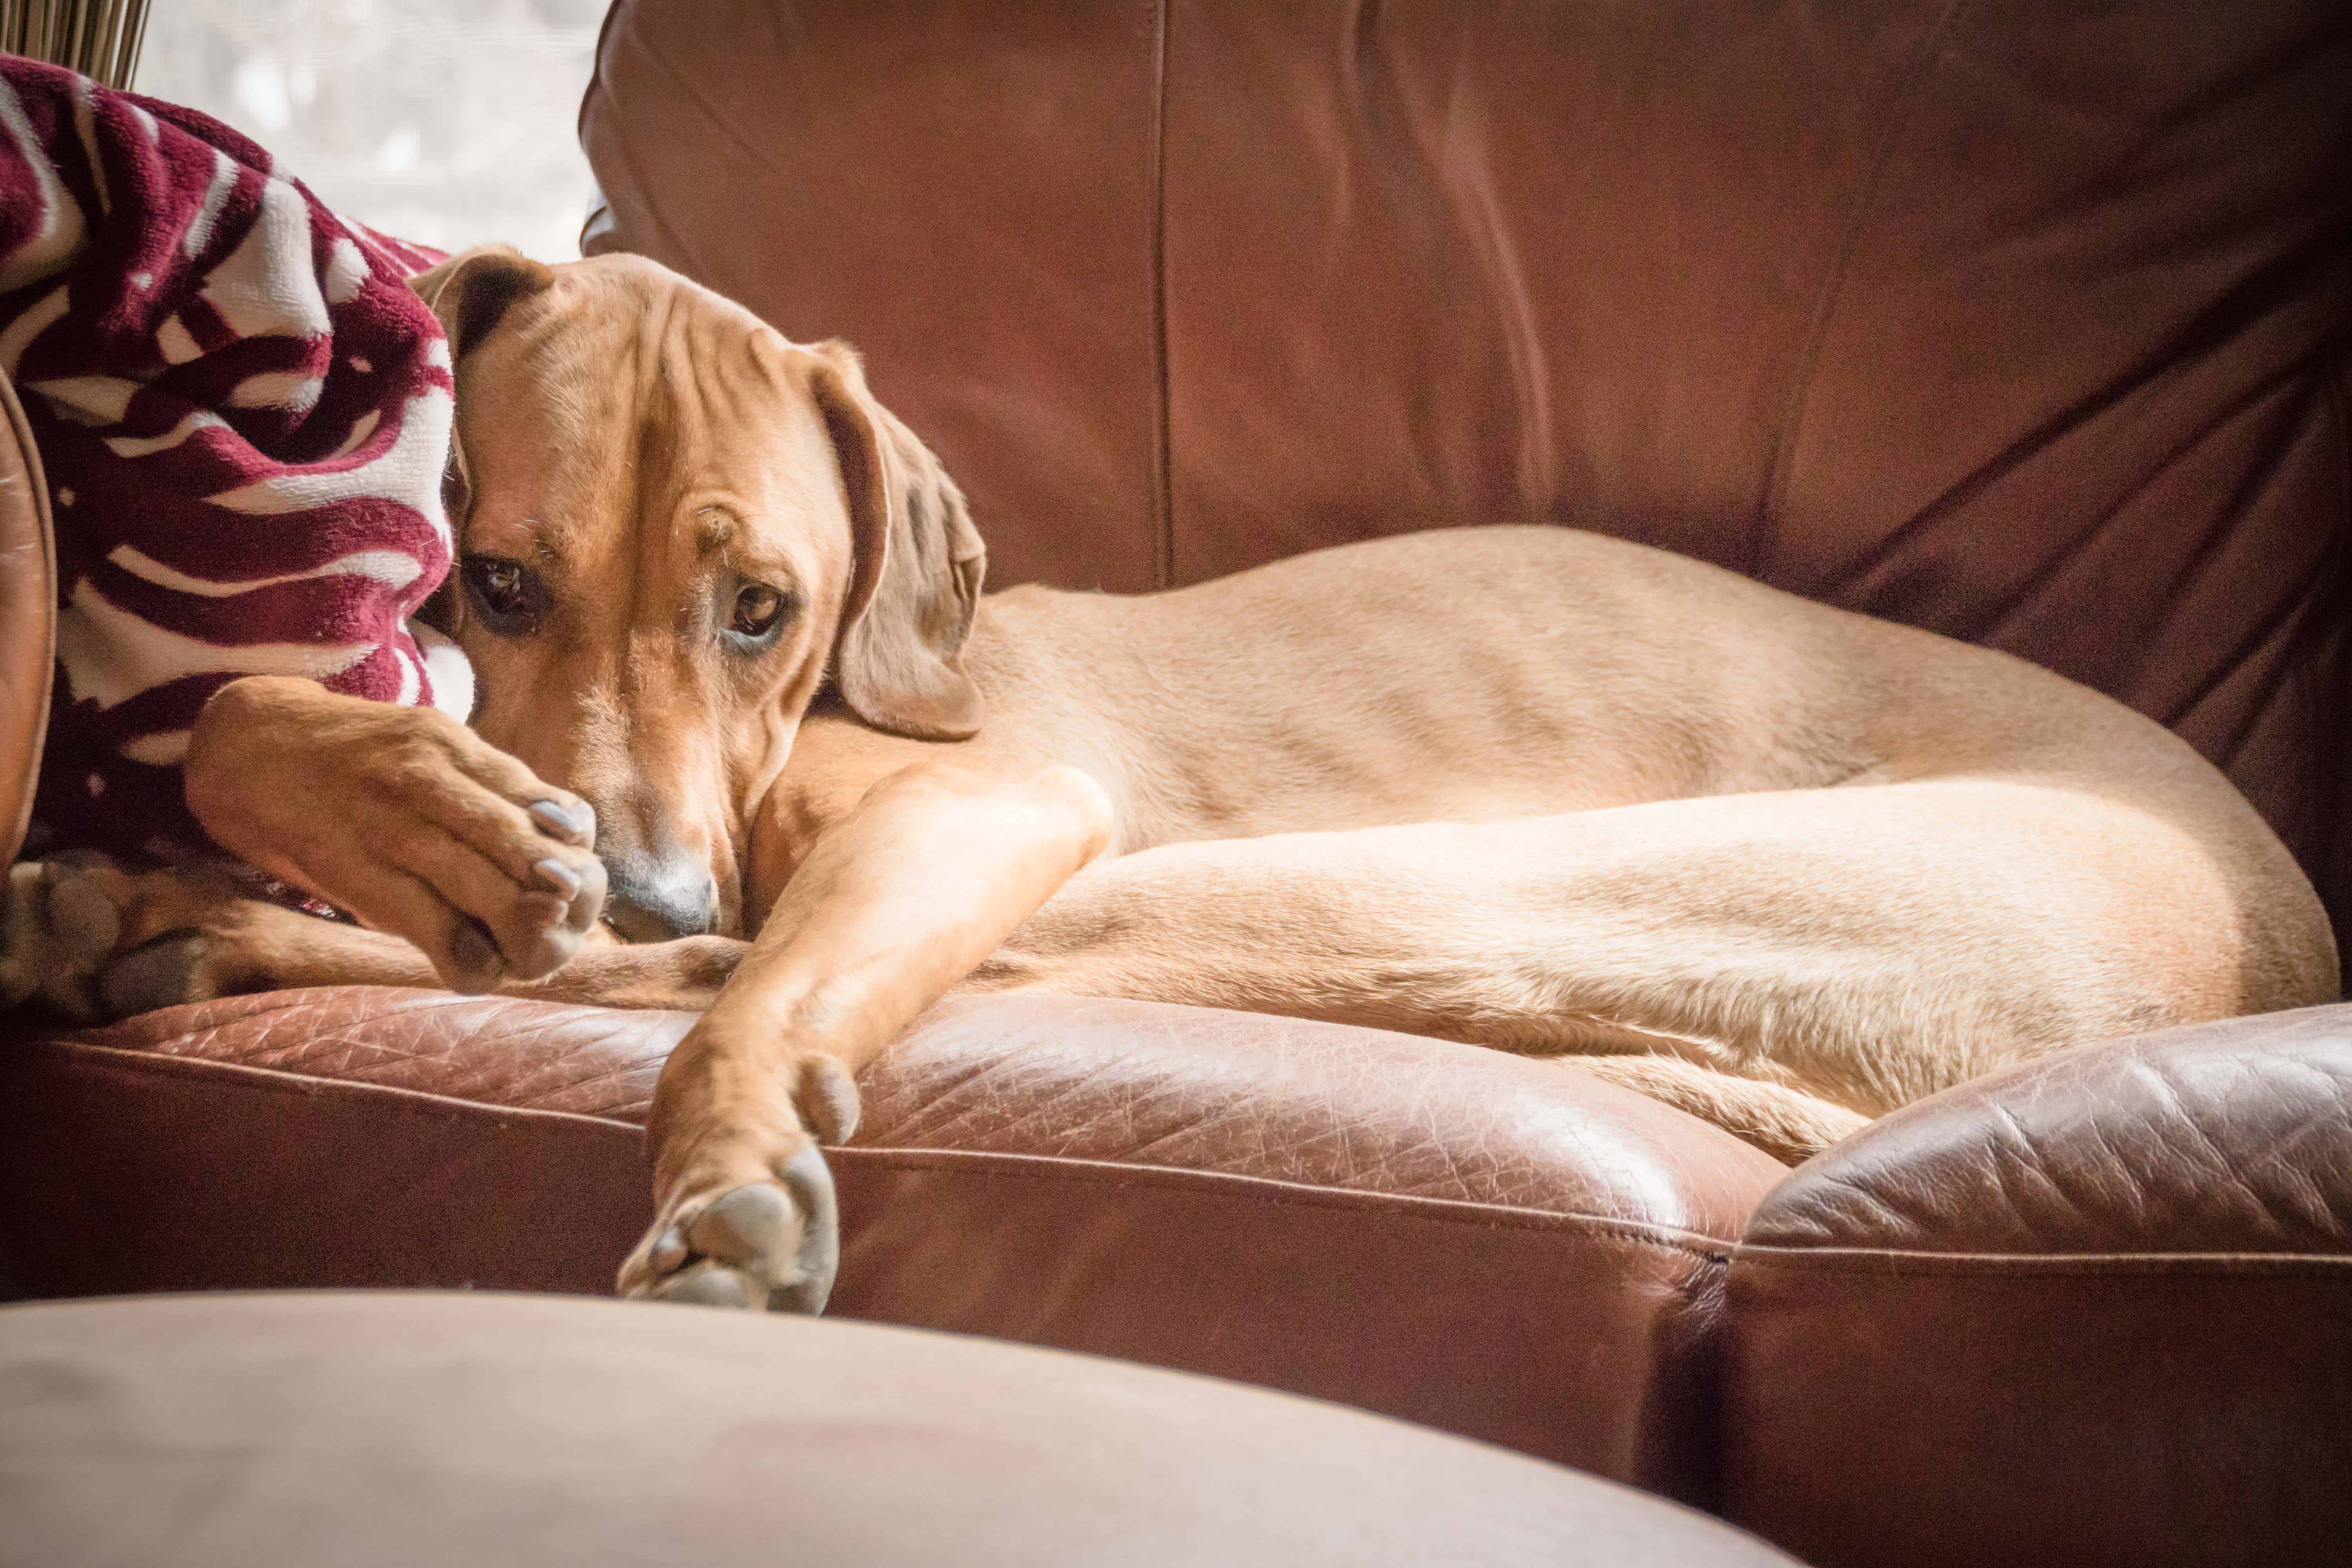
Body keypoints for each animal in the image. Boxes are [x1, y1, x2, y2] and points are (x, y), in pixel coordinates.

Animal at [9, 255, 2343, 1316]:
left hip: (1412, 885)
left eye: (764, 606)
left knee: (770, 983)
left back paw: (190, 931)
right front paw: (386, 816)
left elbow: (738, 998)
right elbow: (286, 735)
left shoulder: (979, 811)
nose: (645, 876)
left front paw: (729, 1165)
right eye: (490, 579)